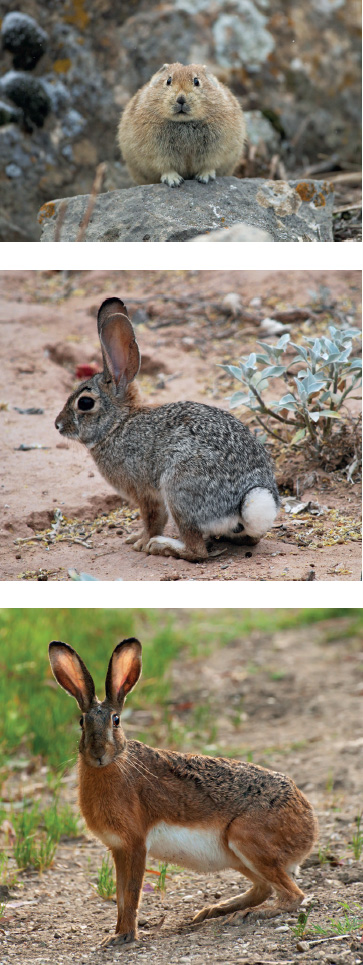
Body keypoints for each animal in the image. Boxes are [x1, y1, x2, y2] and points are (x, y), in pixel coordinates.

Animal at [49, 636, 318, 944]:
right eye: (82, 722)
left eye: (115, 721)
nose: (97, 754)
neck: (116, 762)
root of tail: (309, 825)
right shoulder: (118, 848)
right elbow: (120, 897)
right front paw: (116, 934)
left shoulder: (135, 844)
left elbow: (130, 894)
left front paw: (123, 937)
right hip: (238, 854)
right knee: (265, 888)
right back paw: (214, 910)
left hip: (247, 838)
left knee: (292, 896)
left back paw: (246, 915)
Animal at [55, 298, 280, 560]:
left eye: (85, 403)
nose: (58, 425)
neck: (117, 424)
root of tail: (245, 503)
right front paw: (134, 538)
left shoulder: (145, 493)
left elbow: (153, 520)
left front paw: (141, 542)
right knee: (249, 540)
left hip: (178, 490)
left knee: (197, 551)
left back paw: (162, 546)